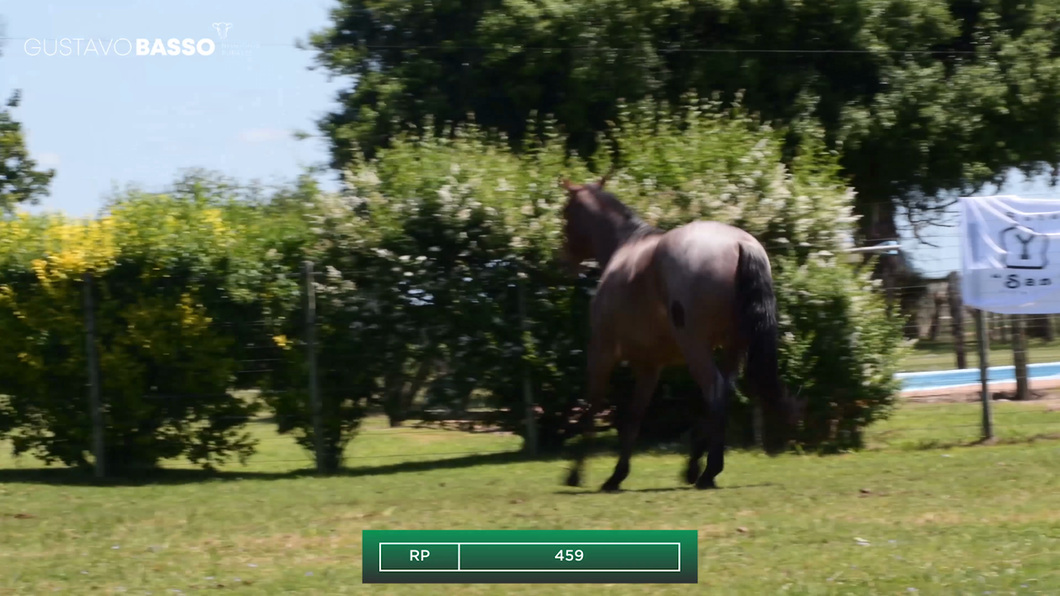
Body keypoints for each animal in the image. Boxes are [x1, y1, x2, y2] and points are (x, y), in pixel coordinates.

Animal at [559, 171, 797, 492]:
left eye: (565, 214)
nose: (564, 262)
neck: (625, 248)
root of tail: (739, 244)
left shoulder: (602, 353)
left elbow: (593, 408)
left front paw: (577, 474)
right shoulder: (649, 365)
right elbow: (634, 416)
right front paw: (618, 475)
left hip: (695, 347)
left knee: (715, 390)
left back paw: (709, 471)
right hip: (733, 346)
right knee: (721, 394)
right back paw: (696, 468)